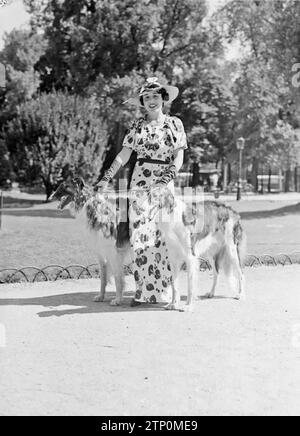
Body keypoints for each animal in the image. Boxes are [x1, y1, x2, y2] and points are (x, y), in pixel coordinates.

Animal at [49, 177, 246, 310]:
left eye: (63, 187)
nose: (51, 196)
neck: (95, 207)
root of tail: (233, 211)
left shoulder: (114, 252)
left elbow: (119, 280)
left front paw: (117, 300)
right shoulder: (102, 252)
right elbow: (104, 278)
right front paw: (101, 296)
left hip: (230, 250)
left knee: (239, 273)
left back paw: (240, 295)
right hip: (211, 251)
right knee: (217, 272)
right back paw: (211, 293)